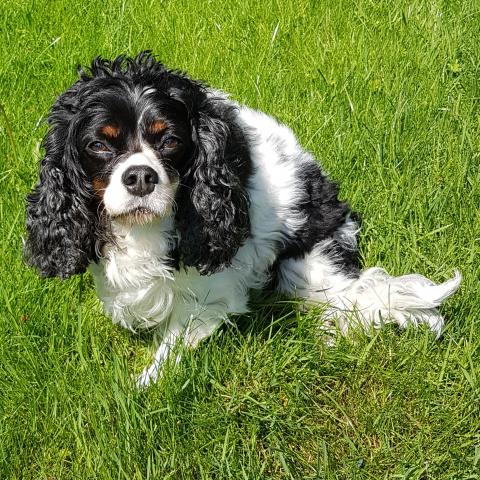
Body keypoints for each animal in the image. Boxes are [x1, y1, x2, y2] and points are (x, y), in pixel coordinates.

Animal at [25, 51, 462, 386]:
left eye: (171, 141)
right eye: (98, 144)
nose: (140, 177)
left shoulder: (209, 293)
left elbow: (174, 342)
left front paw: (142, 387)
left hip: (305, 268)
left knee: (347, 302)